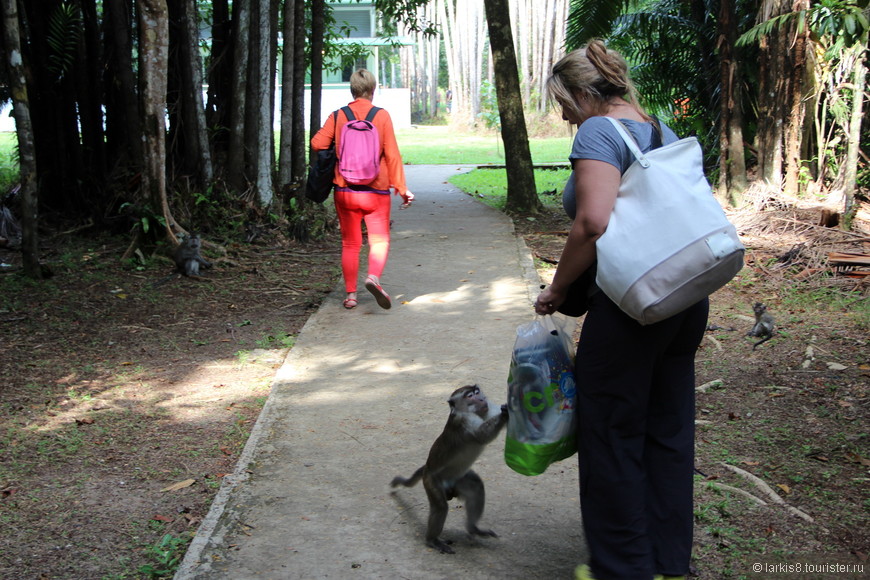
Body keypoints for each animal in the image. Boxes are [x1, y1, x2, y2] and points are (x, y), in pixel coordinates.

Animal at [390, 386, 508, 552]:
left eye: (477, 392)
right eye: (470, 396)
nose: (481, 398)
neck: (473, 412)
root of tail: (427, 466)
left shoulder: (488, 409)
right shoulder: (463, 421)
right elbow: (481, 435)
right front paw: (506, 413)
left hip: (458, 479)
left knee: (476, 487)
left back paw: (473, 528)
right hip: (431, 481)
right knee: (441, 507)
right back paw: (432, 540)